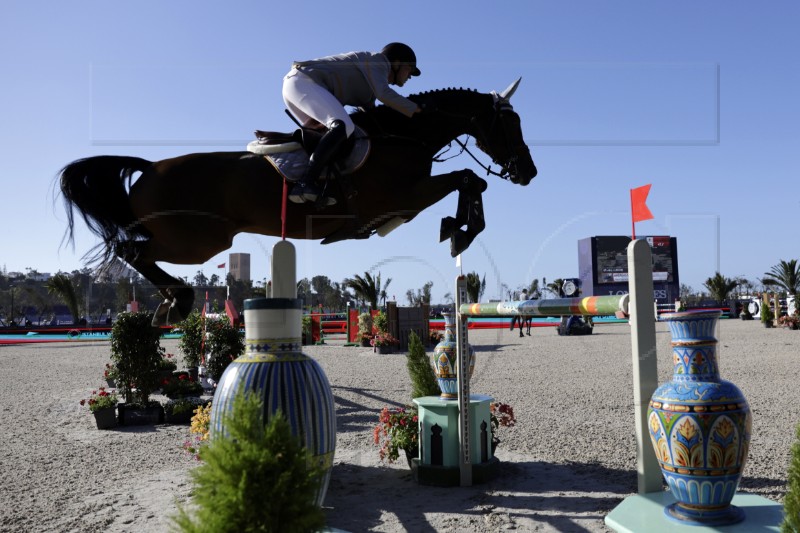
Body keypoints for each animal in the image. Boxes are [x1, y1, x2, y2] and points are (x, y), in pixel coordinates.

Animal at [59, 77, 536, 322]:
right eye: (510, 124)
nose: (528, 172)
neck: (403, 135)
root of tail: (149, 168)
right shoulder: (404, 197)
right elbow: (469, 179)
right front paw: (459, 231)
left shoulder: (404, 201)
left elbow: (470, 181)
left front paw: (457, 229)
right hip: (197, 242)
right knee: (133, 251)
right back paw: (179, 301)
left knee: (134, 252)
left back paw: (172, 304)